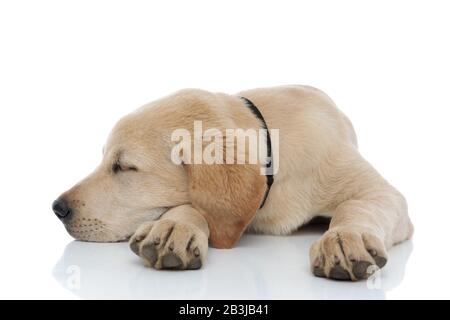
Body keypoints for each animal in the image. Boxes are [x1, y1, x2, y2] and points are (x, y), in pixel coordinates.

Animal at [51, 85, 412, 280]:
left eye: (125, 167)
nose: (57, 208)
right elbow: (194, 206)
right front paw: (174, 226)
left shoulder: (380, 192)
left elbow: (358, 206)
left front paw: (343, 238)